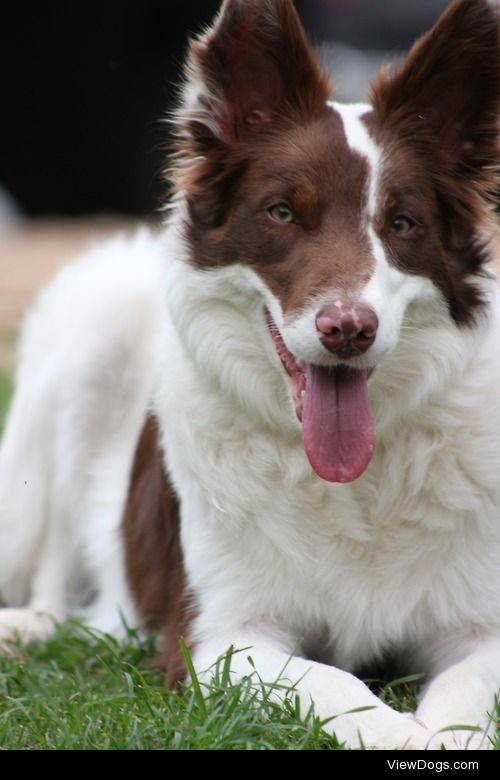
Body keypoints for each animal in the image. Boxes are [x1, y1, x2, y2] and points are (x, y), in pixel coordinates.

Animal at [0, 0, 500, 752]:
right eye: (282, 213)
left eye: (401, 223)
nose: (348, 329)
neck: (353, 483)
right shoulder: (223, 640)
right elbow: (343, 687)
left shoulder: (479, 629)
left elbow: (462, 702)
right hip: (90, 328)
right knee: (60, 587)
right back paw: (27, 628)